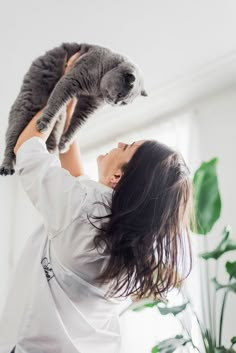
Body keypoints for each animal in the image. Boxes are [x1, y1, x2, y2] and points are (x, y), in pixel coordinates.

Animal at [0, 42, 147, 176]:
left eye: (124, 103)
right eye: (121, 95)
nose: (115, 103)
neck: (97, 89)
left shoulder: (89, 105)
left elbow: (78, 124)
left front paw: (64, 144)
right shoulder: (71, 81)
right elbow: (56, 104)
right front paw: (44, 124)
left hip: (59, 121)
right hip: (31, 98)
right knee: (12, 139)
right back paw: (7, 167)